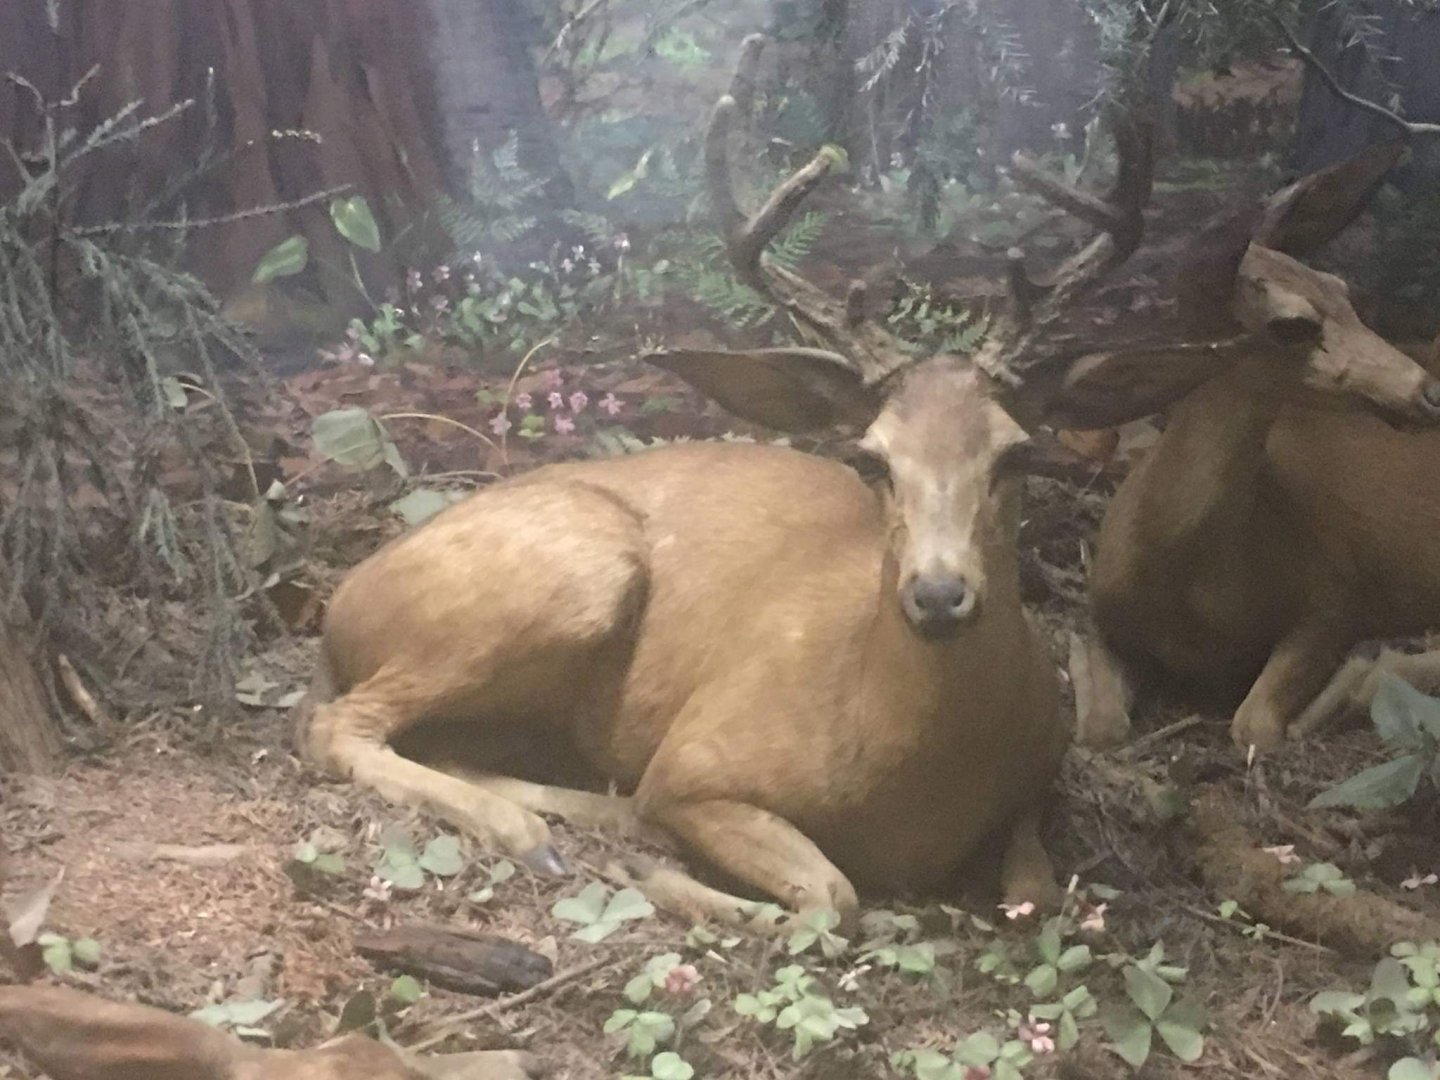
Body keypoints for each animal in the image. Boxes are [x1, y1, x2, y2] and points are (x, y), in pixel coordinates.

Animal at [290, 35, 1186, 928]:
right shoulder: (695, 759)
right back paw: (536, 834)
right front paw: (668, 875)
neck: (911, 781)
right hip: (572, 576)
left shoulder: (1045, 764)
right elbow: (831, 895)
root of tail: (342, 604)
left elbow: (1036, 892)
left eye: (1016, 455)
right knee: (337, 724)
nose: (938, 593)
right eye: (871, 457)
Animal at [1060, 138, 1440, 755]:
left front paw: (1349, 681)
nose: (1428, 391)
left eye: (1342, 289)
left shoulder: (1337, 595)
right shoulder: (1104, 612)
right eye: (1292, 324)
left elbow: (1255, 725)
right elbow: (1100, 728)